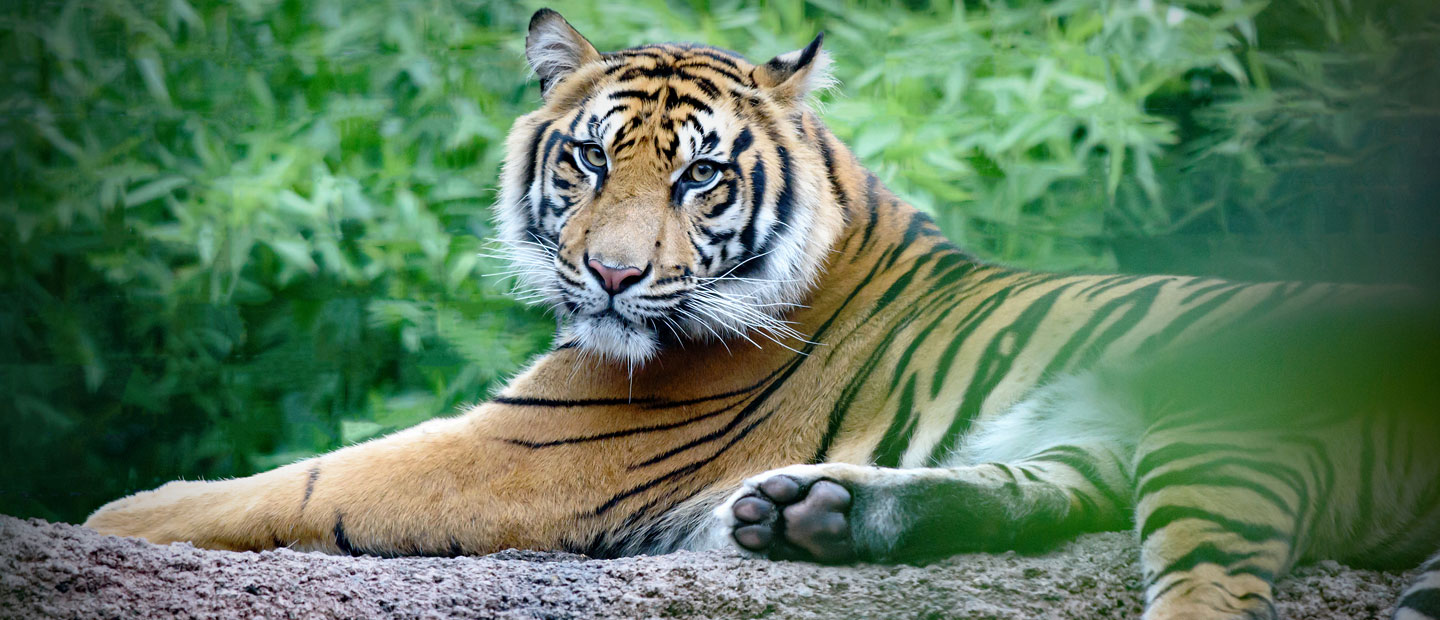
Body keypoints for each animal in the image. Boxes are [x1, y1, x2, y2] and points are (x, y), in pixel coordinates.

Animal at [82, 9, 1440, 620]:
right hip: (1106, 442)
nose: (612, 276)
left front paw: (115, 515)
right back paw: (811, 512)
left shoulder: (529, 443)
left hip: (1225, 433)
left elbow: (307, 479)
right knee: (1035, 492)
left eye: (699, 177)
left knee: (1212, 589)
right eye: (587, 160)